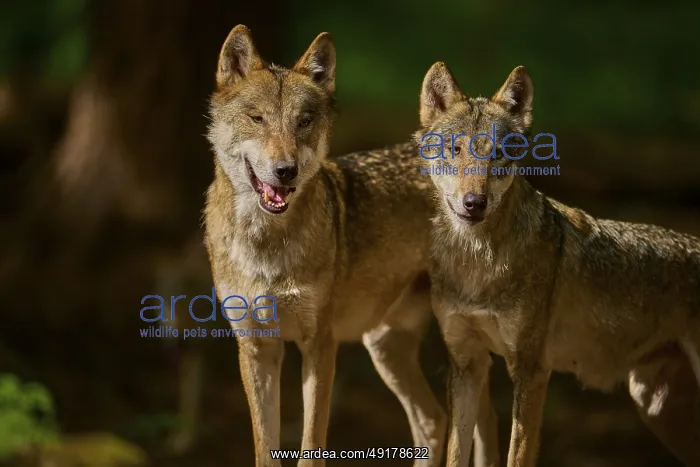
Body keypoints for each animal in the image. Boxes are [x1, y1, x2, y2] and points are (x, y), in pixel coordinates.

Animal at [203, 25, 502, 467]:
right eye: (257, 119)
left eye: (304, 121)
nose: (286, 171)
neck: (266, 244)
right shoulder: (257, 348)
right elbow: (265, 449)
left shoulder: (320, 345)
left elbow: (311, 447)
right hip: (386, 348)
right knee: (433, 419)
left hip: (455, 349)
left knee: (485, 422)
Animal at [416, 62, 700, 467]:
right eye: (455, 150)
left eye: (498, 155)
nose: (475, 203)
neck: (477, 263)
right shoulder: (466, 365)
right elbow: (456, 455)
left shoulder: (531, 370)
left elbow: (516, 457)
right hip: (656, 409)